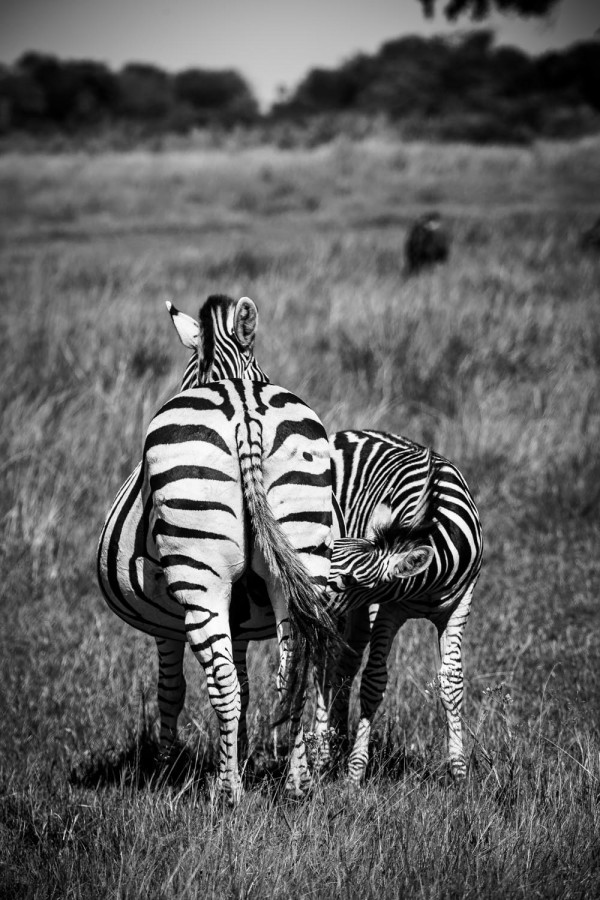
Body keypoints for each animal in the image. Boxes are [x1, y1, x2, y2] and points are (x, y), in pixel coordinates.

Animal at [316, 428, 486, 780]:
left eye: (351, 580)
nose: (302, 597)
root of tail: (347, 433)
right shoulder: (386, 607)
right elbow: (373, 680)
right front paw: (355, 772)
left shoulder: (461, 605)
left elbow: (452, 681)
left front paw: (459, 771)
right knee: (329, 664)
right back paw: (324, 752)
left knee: (344, 664)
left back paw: (337, 742)